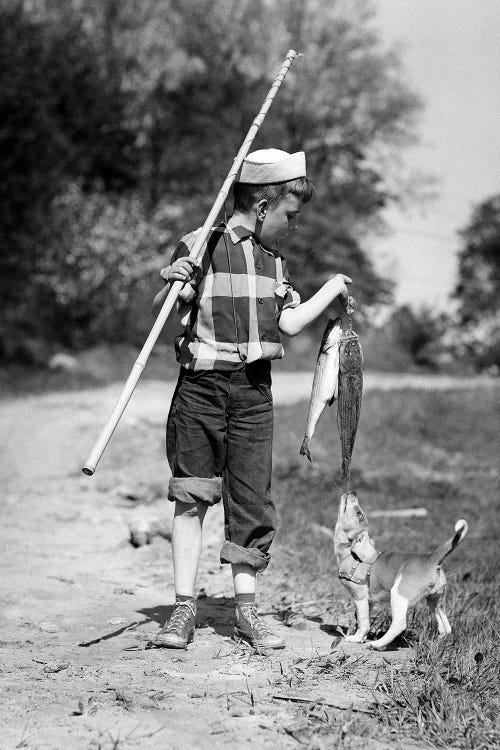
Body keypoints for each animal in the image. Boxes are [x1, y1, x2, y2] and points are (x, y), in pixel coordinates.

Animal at [332, 490, 468, 648]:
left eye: (359, 514)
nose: (353, 492)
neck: (350, 554)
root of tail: (431, 558)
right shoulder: (369, 602)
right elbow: (365, 619)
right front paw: (362, 637)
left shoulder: (360, 597)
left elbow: (362, 621)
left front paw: (356, 638)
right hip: (435, 600)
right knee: (445, 627)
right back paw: (435, 642)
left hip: (398, 595)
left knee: (399, 624)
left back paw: (377, 644)